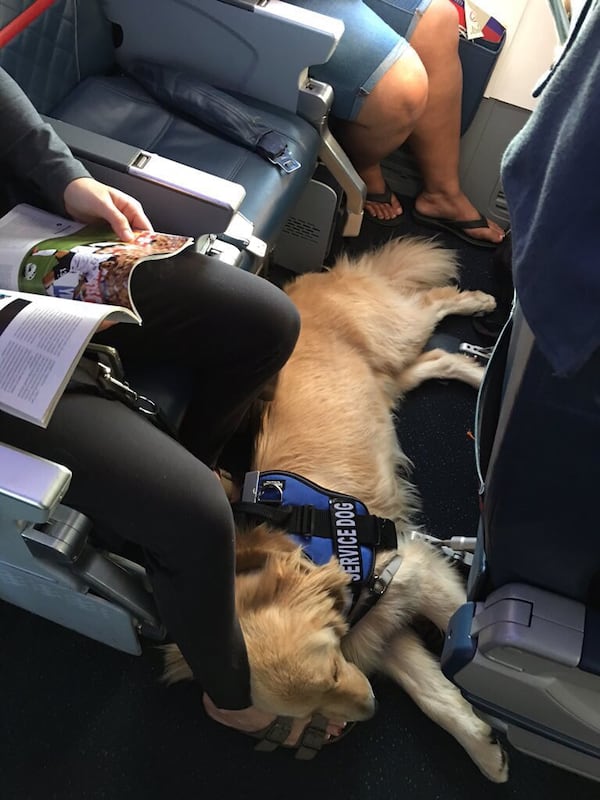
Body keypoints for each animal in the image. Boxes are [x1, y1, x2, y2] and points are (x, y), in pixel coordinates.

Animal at [166, 236, 508, 780]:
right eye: (304, 713)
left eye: (330, 670)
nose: (367, 711)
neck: (318, 553)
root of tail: (303, 282)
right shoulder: (380, 628)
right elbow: (433, 695)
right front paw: (485, 749)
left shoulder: (410, 571)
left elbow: (463, 624)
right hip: (390, 377)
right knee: (438, 358)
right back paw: (479, 376)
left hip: (394, 332)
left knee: (429, 303)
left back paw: (479, 303)